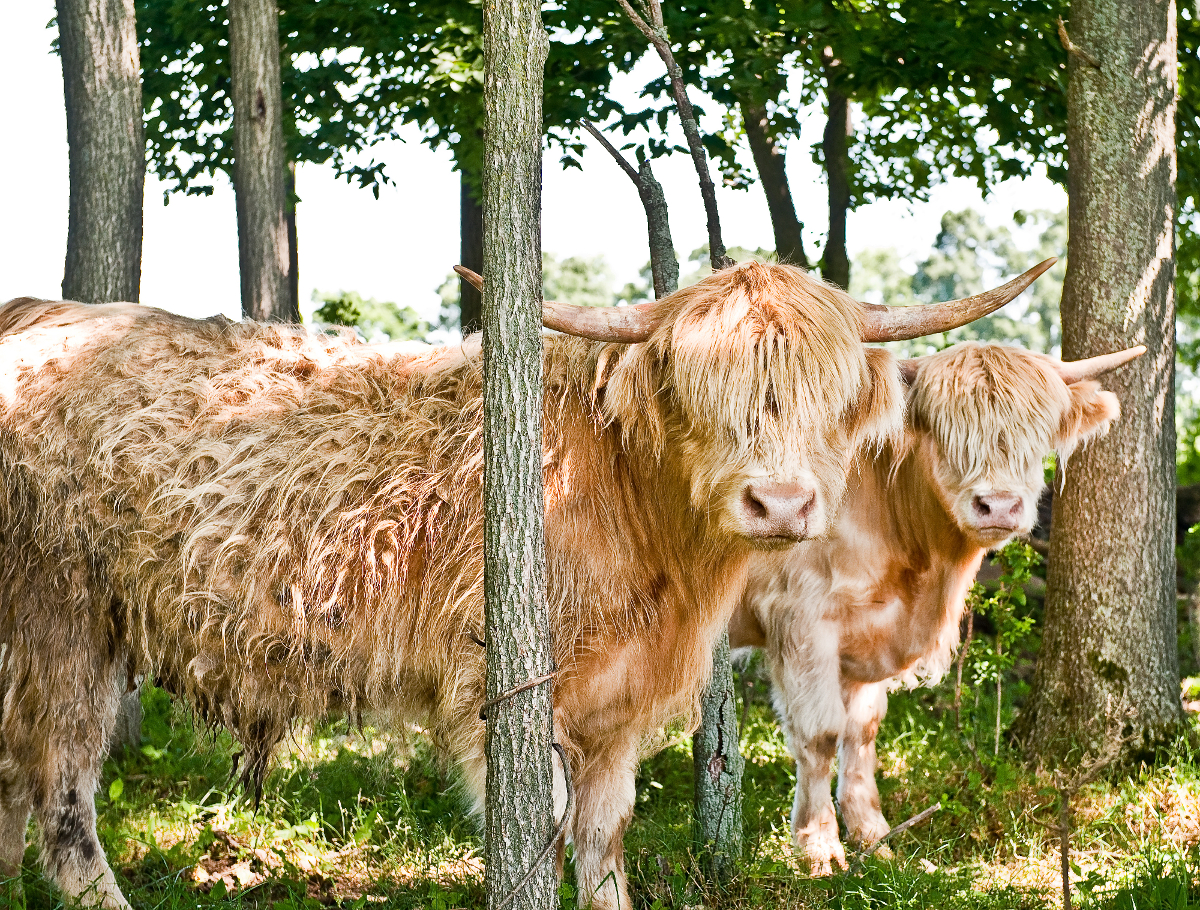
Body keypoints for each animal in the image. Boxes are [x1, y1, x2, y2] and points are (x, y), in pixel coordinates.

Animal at [0, 260, 1041, 907]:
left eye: (831, 397)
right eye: (702, 392)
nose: (781, 505)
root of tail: (40, 315)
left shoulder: (619, 699)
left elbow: (605, 835)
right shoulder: (501, 684)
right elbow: (540, 825)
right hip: (62, 615)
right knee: (61, 789)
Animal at [724, 340, 1147, 878]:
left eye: (1037, 437)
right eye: (948, 435)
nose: (999, 506)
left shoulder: (865, 637)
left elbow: (862, 733)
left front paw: (874, 839)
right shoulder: (800, 619)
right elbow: (820, 736)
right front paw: (820, 849)